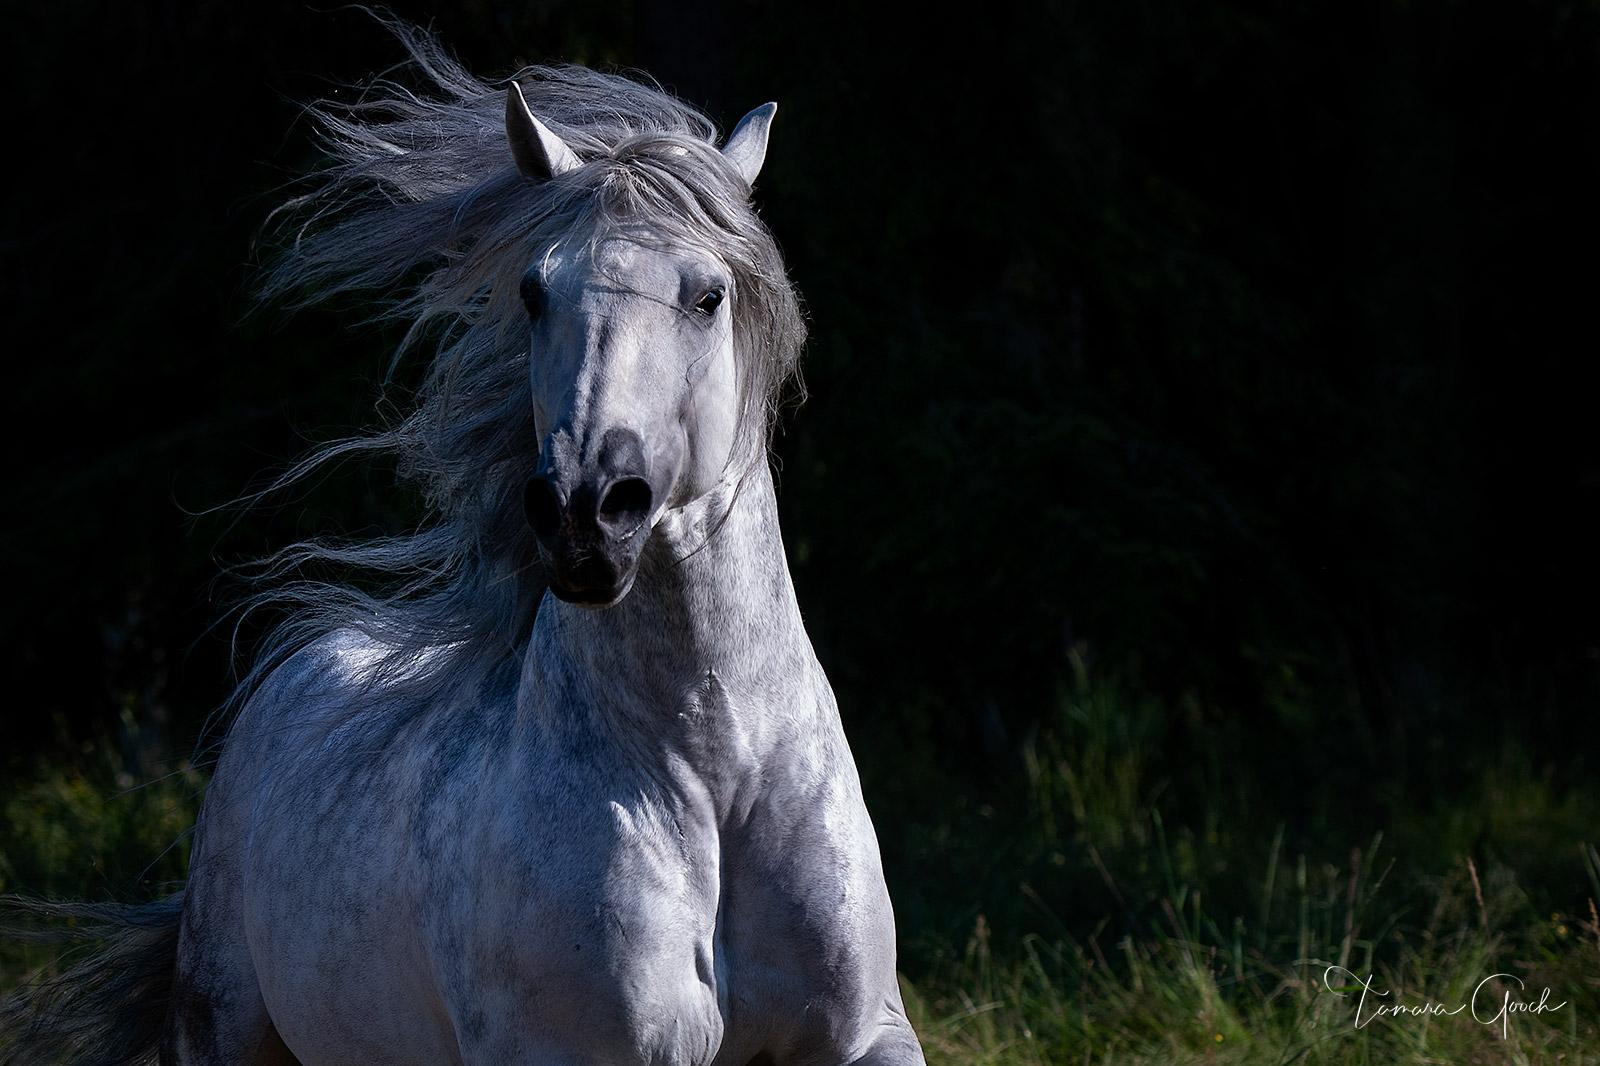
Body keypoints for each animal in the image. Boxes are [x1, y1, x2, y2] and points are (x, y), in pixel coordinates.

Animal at [0, 25, 926, 1066]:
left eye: (709, 296)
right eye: (532, 291)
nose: (586, 514)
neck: (715, 780)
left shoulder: (864, 1033)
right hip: (222, 1030)